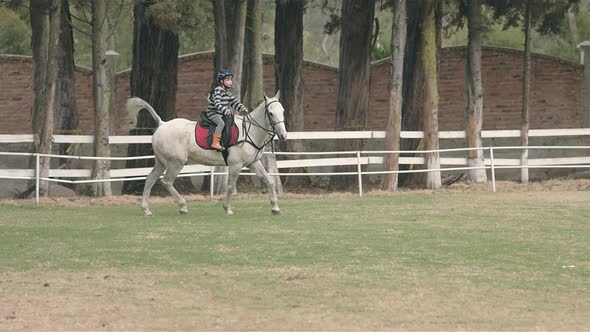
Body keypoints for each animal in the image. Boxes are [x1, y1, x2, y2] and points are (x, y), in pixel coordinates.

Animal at [126, 91, 288, 215]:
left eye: (282, 111)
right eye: (271, 113)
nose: (283, 135)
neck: (249, 131)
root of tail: (162, 124)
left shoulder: (253, 163)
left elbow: (269, 180)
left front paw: (275, 208)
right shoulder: (235, 166)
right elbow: (230, 187)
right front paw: (227, 208)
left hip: (161, 163)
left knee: (150, 179)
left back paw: (146, 209)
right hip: (175, 164)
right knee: (166, 182)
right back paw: (183, 206)